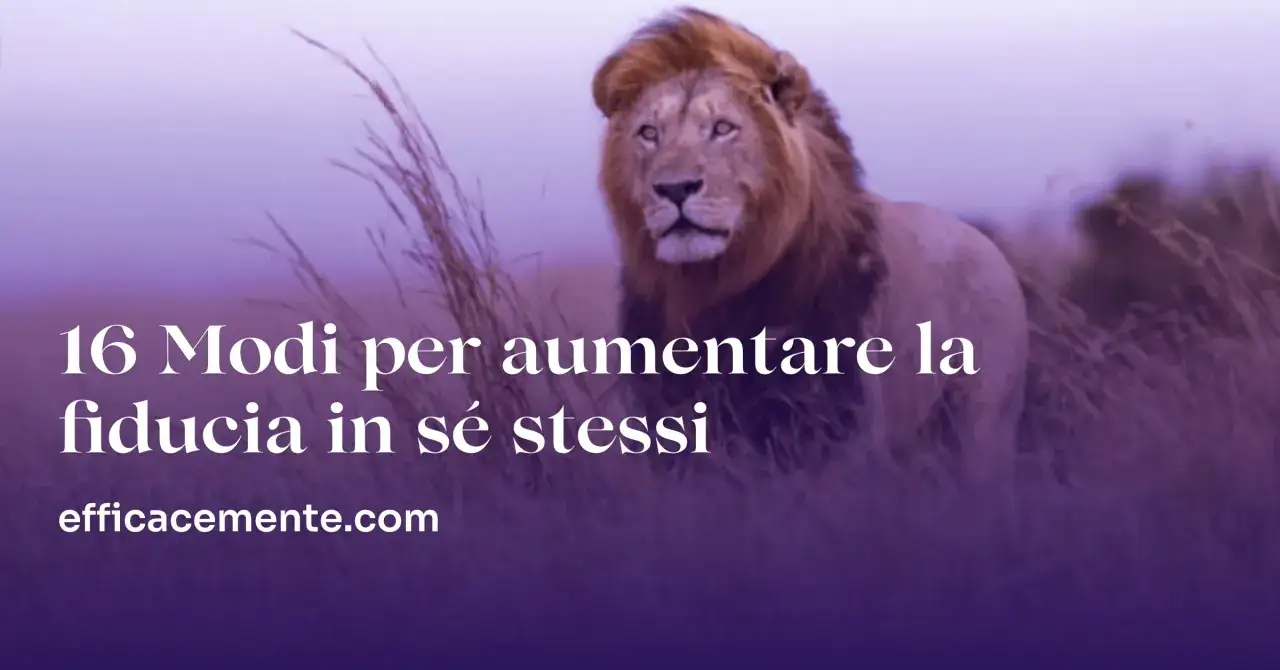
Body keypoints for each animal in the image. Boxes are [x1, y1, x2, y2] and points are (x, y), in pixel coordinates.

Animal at [590, 7, 1029, 484]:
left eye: (723, 128)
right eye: (649, 133)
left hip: (982, 426)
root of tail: (988, 246)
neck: (709, 294)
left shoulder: (842, 433)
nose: (674, 188)